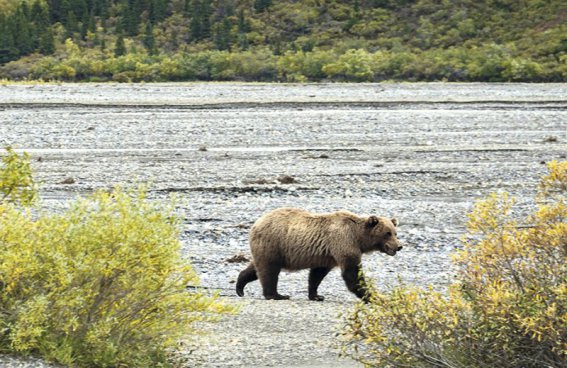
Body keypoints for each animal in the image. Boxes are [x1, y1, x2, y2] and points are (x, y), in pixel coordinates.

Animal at [236, 207, 404, 302]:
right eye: (387, 233)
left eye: (395, 232)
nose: (399, 246)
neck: (359, 238)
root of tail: (256, 222)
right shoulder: (343, 242)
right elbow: (352, 273)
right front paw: (372, 296)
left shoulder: (327, 255)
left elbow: (317, 274)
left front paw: (316, 295)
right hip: (274, 243)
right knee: (269, 270)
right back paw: (276, 294)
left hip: (269, 248)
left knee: (256, 268)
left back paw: (240, 287)